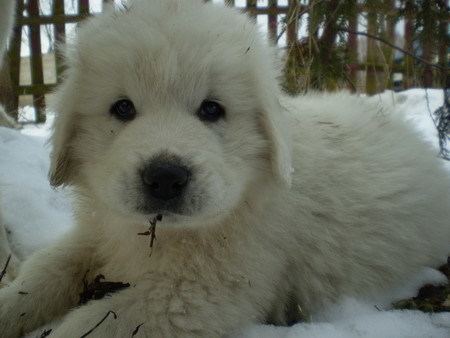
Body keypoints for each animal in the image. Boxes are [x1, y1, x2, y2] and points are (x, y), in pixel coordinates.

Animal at [0, 0, 450, 336]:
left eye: (212, 110)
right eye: (122, 108)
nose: (166, 177)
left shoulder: (199, 293)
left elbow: (92, 323)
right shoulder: (97, 234)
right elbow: (45, 272)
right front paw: (9, 305)